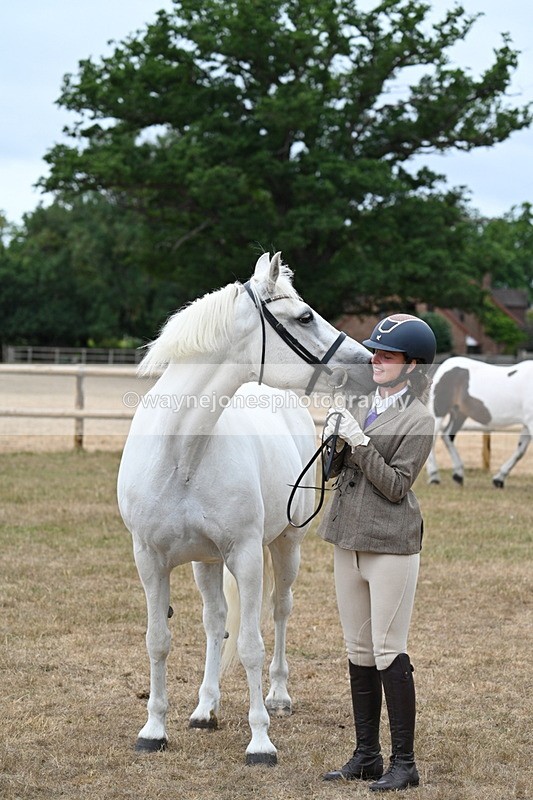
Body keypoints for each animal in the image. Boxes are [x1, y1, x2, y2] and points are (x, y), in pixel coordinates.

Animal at [117, 252, 372, 764]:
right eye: (305, 317)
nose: (367, 364)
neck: (181, 454)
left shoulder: (248, 555)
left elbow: (253, 645)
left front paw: (260, 741)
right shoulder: (150, 560)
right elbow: (159, 641)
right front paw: (154, 730)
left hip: (285, 547)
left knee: (279, 611)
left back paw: (278, 696)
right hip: (206, 561)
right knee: (216, 623)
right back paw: (205, 707)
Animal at [425, 356, 533, 488]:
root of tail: (441, 366)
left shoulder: (527, 424)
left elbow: (520, 451)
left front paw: (498, 479)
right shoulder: (530, 423)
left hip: (459, 414)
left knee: (447, 436)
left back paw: (458, 475)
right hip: (440, 411)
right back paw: (434, 477)